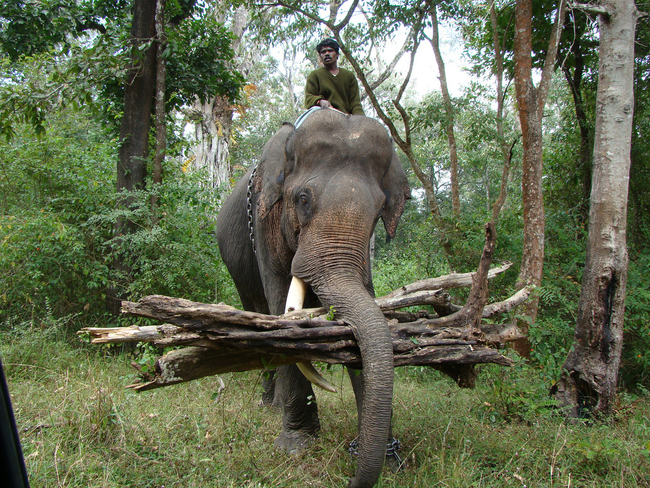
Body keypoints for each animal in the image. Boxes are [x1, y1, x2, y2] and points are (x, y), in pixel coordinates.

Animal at [218, 107, 410, 488]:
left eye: (379, 210)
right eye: (303, 200)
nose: (351, 474)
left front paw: (389, 459)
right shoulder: (264, 219)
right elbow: (279, 302)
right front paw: (296, 447)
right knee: (256, 310)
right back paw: (269, 405)